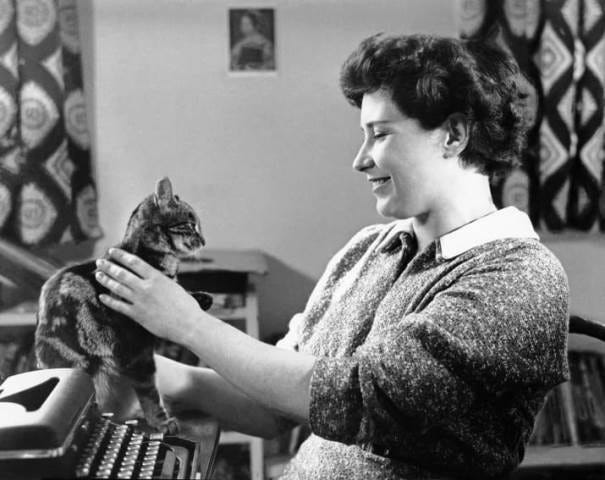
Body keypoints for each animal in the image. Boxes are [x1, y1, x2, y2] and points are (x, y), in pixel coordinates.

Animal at [34, 178, 212, 434]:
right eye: (190, 225)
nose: (204, 240)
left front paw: (200, 298)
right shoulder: (138, 351)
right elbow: (150, 393)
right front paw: (162, 422)